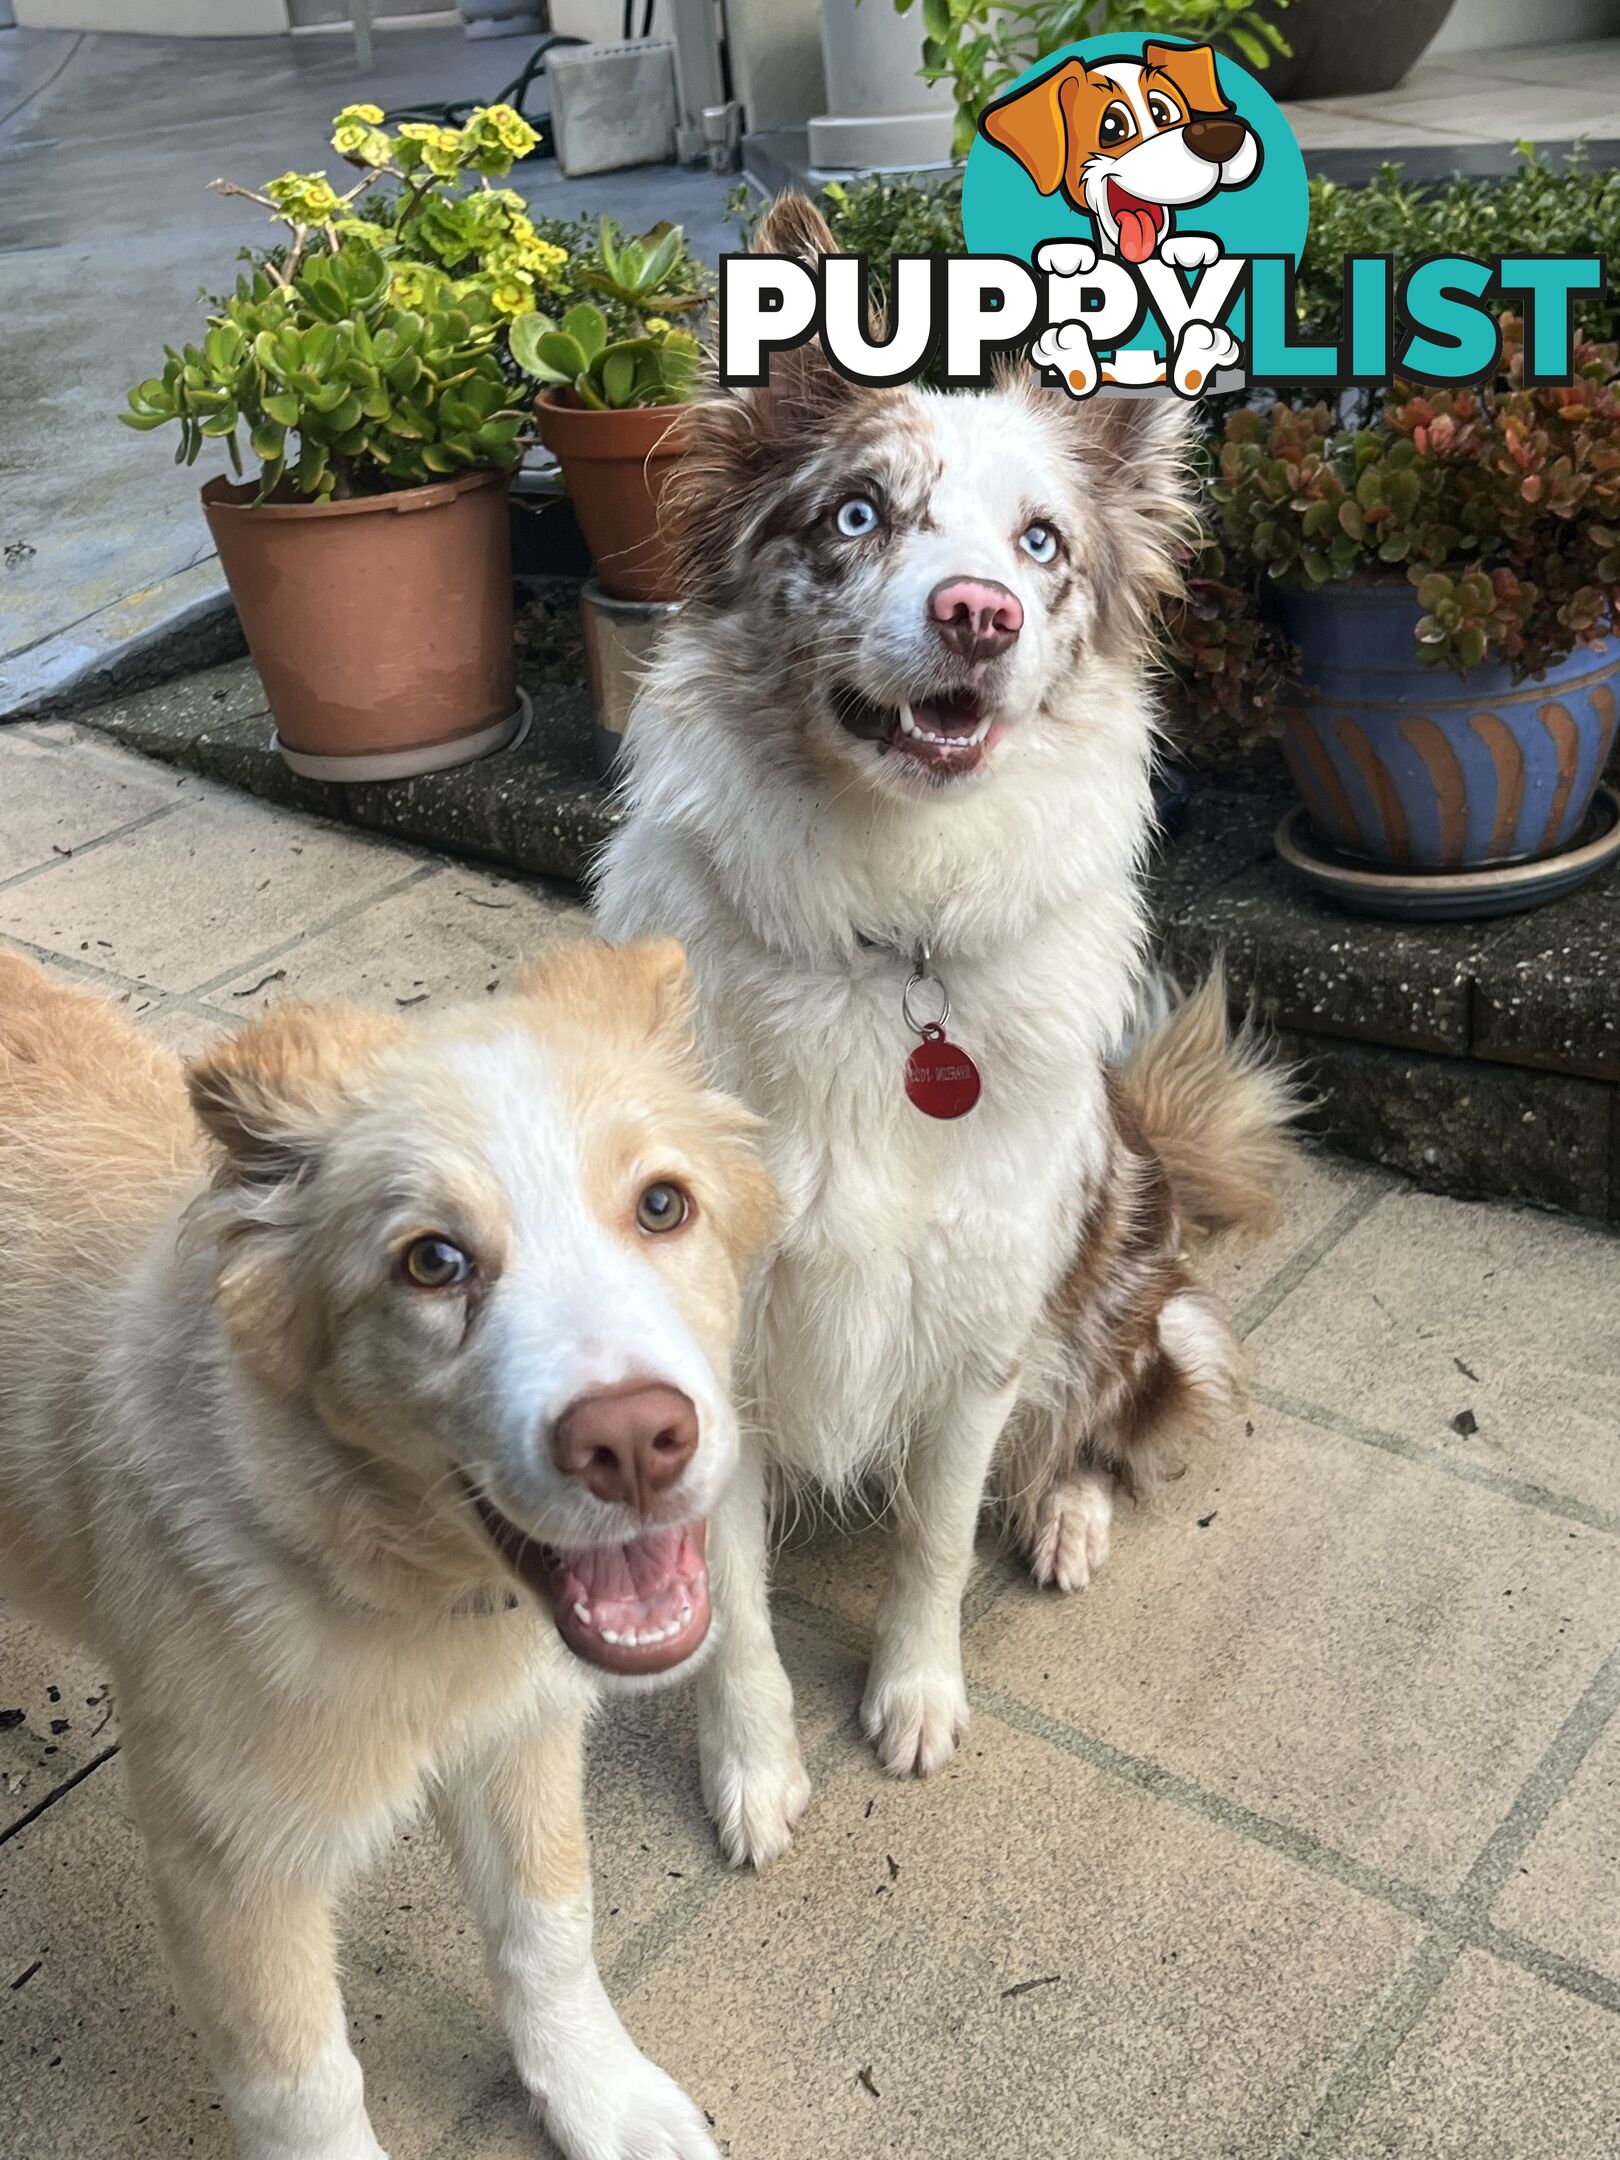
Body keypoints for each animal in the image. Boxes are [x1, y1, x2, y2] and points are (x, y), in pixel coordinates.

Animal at [0, 946, 777, 2160]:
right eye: (433, 1262)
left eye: (663, 1205)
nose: (635, 1445)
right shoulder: (231, 1862)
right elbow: (302, 2090)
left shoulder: (521, 1733)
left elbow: (550, 1932)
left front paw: (605, 2102)